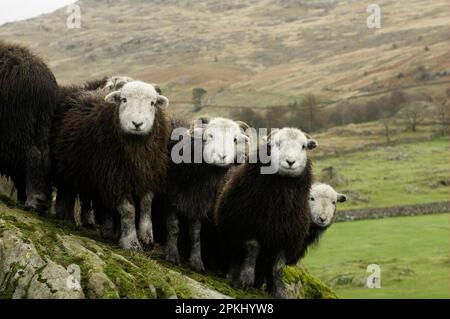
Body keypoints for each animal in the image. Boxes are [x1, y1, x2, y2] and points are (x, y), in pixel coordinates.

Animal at [51, 80, 171, 250]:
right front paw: (131, 242)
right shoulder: (116, 177)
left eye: (152, 103)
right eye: (124, 99)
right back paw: (66, 218)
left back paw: (107, 231)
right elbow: (128, 210)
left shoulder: (148, 174)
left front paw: (146, 237)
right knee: (67, 190)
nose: (137, 124)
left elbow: (147, 204)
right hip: (69, 167)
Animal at [216, 127, 318, 300]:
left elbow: (278, 266)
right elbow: (252, 249)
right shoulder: (245, 225)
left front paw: (279, 291)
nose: (290, 162)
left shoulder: (285, 237)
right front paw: (245, 280)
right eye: (277, 143)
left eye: (303, 146)